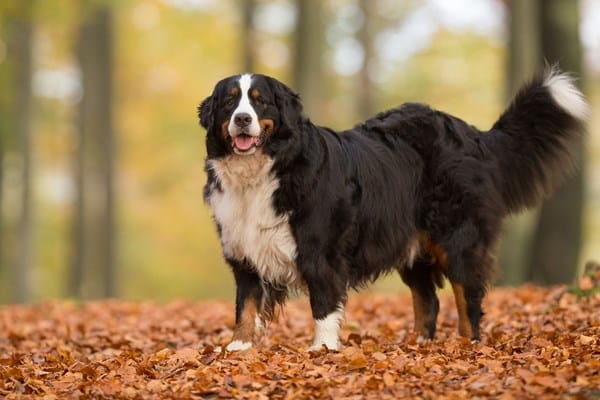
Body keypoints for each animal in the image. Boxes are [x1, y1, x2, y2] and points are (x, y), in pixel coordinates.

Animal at [197, 69, 584, 354]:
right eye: (229, 101)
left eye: (259, 102)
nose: (242, 119)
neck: (264, 172)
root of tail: (472, 134)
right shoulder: (244, 249)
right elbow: (246, 305)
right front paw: (239, 346)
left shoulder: (320, 252)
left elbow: (323, 305)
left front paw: (322, 349)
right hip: (412, 247)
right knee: (428, 301)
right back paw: (418, 344)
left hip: (457, 238)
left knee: (467, 296)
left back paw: (466, 344)